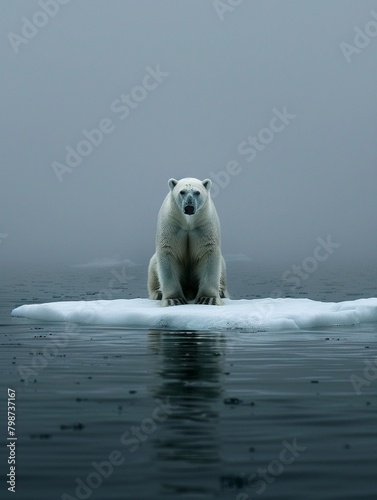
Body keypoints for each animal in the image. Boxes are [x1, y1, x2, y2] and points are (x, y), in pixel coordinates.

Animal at [148, 178, 228, 306]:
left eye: (197, 192)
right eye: (182, 192)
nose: (189, 208)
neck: (188, 222)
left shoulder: (204, 224)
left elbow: (209, 252)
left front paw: (208, 299)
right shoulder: (172, 224)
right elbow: (168, 252)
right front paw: (173, 300)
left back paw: (221, 291)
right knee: (153, 267)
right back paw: (158, 293)